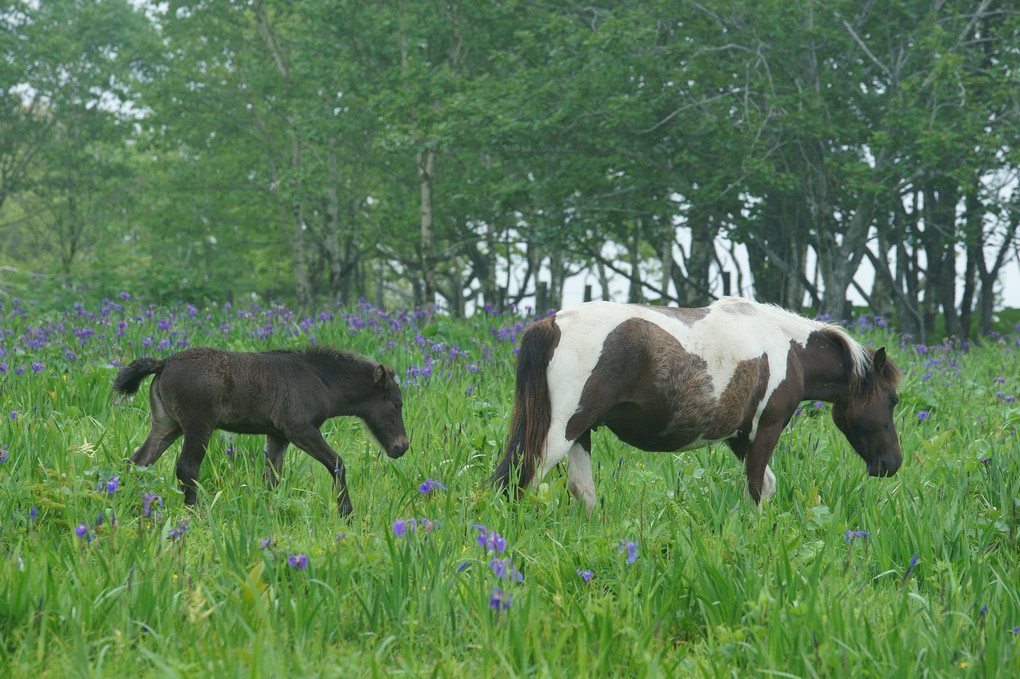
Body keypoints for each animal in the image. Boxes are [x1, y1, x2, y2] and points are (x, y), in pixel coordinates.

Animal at [491, 297, 901, 507]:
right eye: (894, 400)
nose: (892, 463)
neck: (790, 351)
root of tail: (552, 323)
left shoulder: (740, 436)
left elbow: (765, 485)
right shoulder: (766, 430)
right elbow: (756, 488)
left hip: (581, 432)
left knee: (581, 490)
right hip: (561, 432)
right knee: (521, 480)